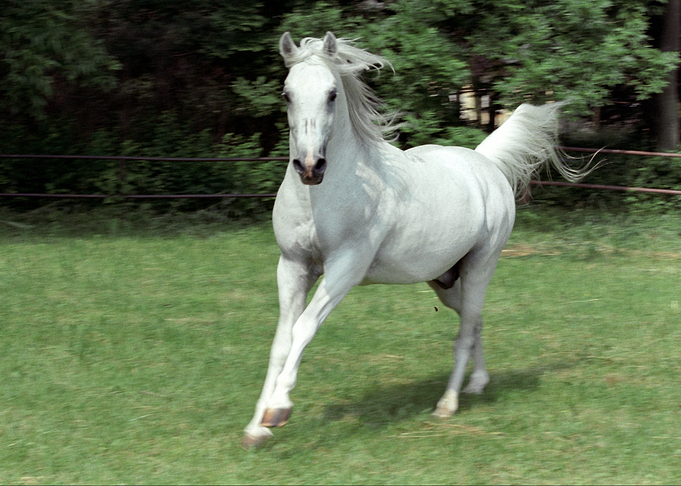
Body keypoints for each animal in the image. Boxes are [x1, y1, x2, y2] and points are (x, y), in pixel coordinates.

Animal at [242, 31, 587, 448]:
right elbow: (280, 341)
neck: (323, 197)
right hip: (445, 279)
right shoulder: (292, 266)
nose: (310, 167)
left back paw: (448, 404)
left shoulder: (345, 268)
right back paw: (477, 383)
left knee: (465, 331)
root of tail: (484, 164)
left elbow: (303, 328)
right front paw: (256, 427)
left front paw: (279, 410)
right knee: (474, 321)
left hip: (481, 265)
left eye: (331, 94)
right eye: (287, 93)